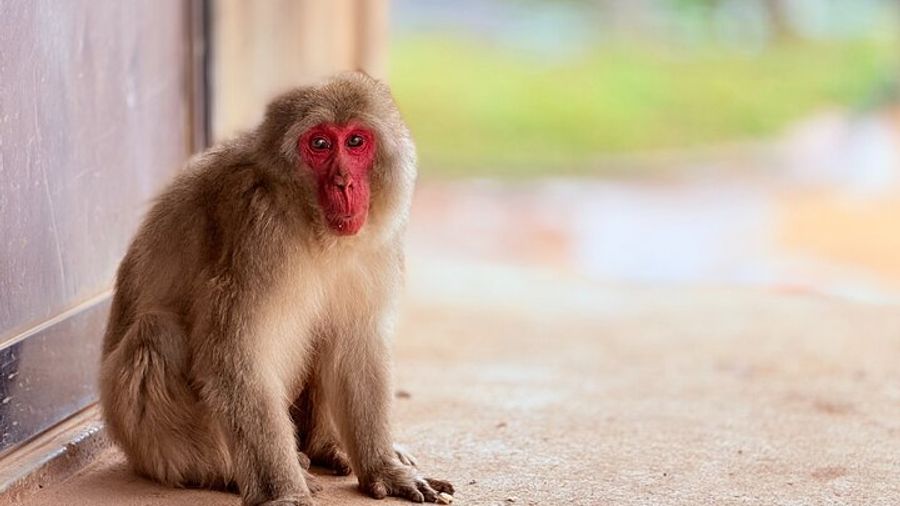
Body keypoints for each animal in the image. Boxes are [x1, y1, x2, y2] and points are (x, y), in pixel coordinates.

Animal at [98, 72, 454, 506]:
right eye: (320, 144)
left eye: (355, 141)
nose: (344, 182)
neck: (308, 220)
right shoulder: (256, 228)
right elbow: (237, 357)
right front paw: (283, 492)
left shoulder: (374, 244)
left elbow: (354, 342)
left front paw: (384, 467)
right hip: (143, 442)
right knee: (156, 332)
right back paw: (220, 470)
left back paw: (327, 448)